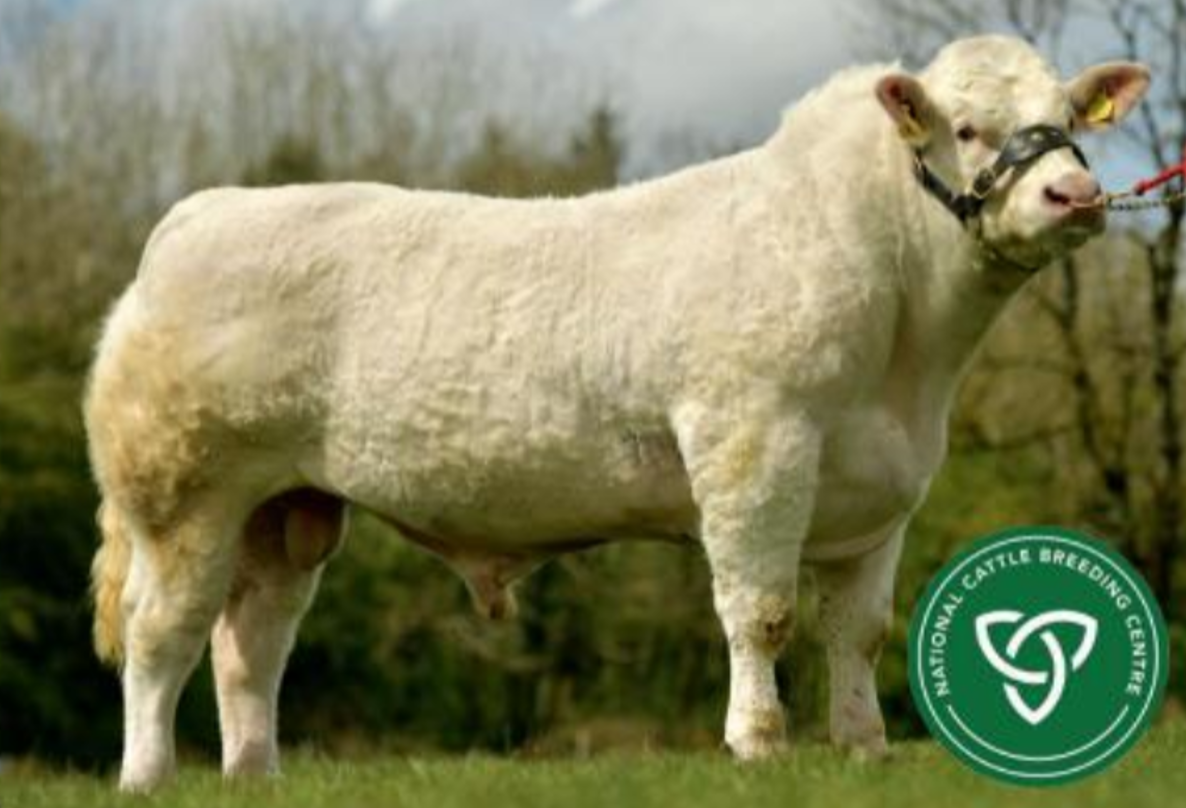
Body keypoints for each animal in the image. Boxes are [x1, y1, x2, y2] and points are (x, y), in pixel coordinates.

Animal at [85, 35, 1149, 790]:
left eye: (1068, 117)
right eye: (967, 128)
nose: (1076, 192)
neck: (907, 358)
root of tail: (198, 215)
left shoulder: (881, 490)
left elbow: (860, 630)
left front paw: (862, 748)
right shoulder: (752, 445)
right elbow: (761, 613)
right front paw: (758, 745)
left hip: (286, 509)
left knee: (251, 643)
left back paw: (254, 775)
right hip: (183, 496)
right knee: (161, 633)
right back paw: (147, 776)